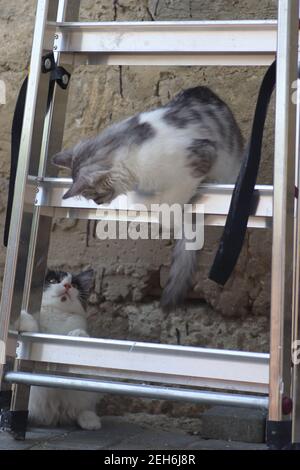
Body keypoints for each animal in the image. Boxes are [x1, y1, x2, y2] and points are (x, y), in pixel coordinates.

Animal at [15, 268, 102, 430]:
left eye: (74, 284)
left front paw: (77, 335)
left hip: (88, 388)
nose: (67, 285)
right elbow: (33, 327)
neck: (57, 314)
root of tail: (55, 416)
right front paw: (23, 319)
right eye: (52, 281)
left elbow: (80, 334)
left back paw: (91, 421)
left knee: (84, 408)